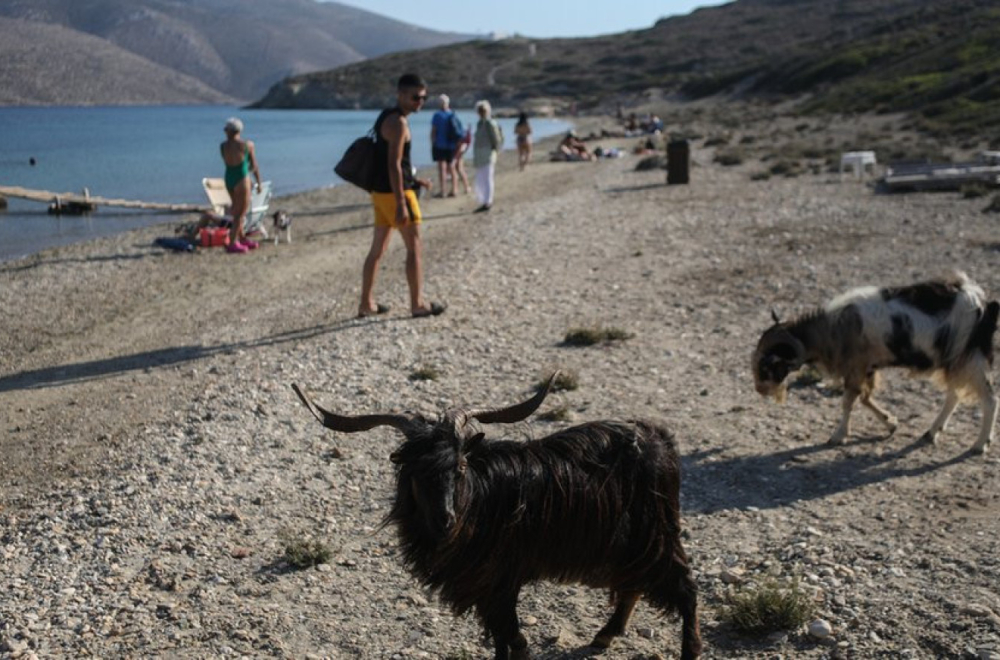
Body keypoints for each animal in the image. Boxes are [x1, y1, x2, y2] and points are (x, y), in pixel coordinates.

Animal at [292, 376, 704, 660]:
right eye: (416, 472)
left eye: (459, 466)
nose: (445, 519)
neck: (478, 501)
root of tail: (660, 439)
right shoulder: (486, 587)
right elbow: (501, 638)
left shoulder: (502, 577)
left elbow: (513, 638)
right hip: (628, 541)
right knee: (634, 583)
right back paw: (605, 634)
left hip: (655, 530)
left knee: (683, 585)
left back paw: (688, 650)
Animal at [752, 270, 1000, 452]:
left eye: (768, 364)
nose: (759, 390)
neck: (831, 328)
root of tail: (984, 302)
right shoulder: (867, 367)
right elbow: (864, 398)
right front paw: (891, 423)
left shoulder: (856, 367)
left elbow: (849, 401)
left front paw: (838, 436)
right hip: (955, 360)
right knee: (954, 395)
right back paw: (931, 433)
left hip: (971, 358)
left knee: (989, 399)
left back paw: (979, 445)